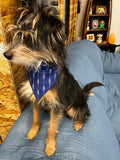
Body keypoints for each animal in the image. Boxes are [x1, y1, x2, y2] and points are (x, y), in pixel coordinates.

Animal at [3, 0, 103, 156]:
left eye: (29, 39)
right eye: (18, 35)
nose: (6, 55)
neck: (41, 68)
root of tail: (83, 95)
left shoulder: (57, 105)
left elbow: (51, 127)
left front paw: (50, 146)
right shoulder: (35, 97)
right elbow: (35, 118)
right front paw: (33, 131)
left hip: (72, 107)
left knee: (86, 114)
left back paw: (78, 124)